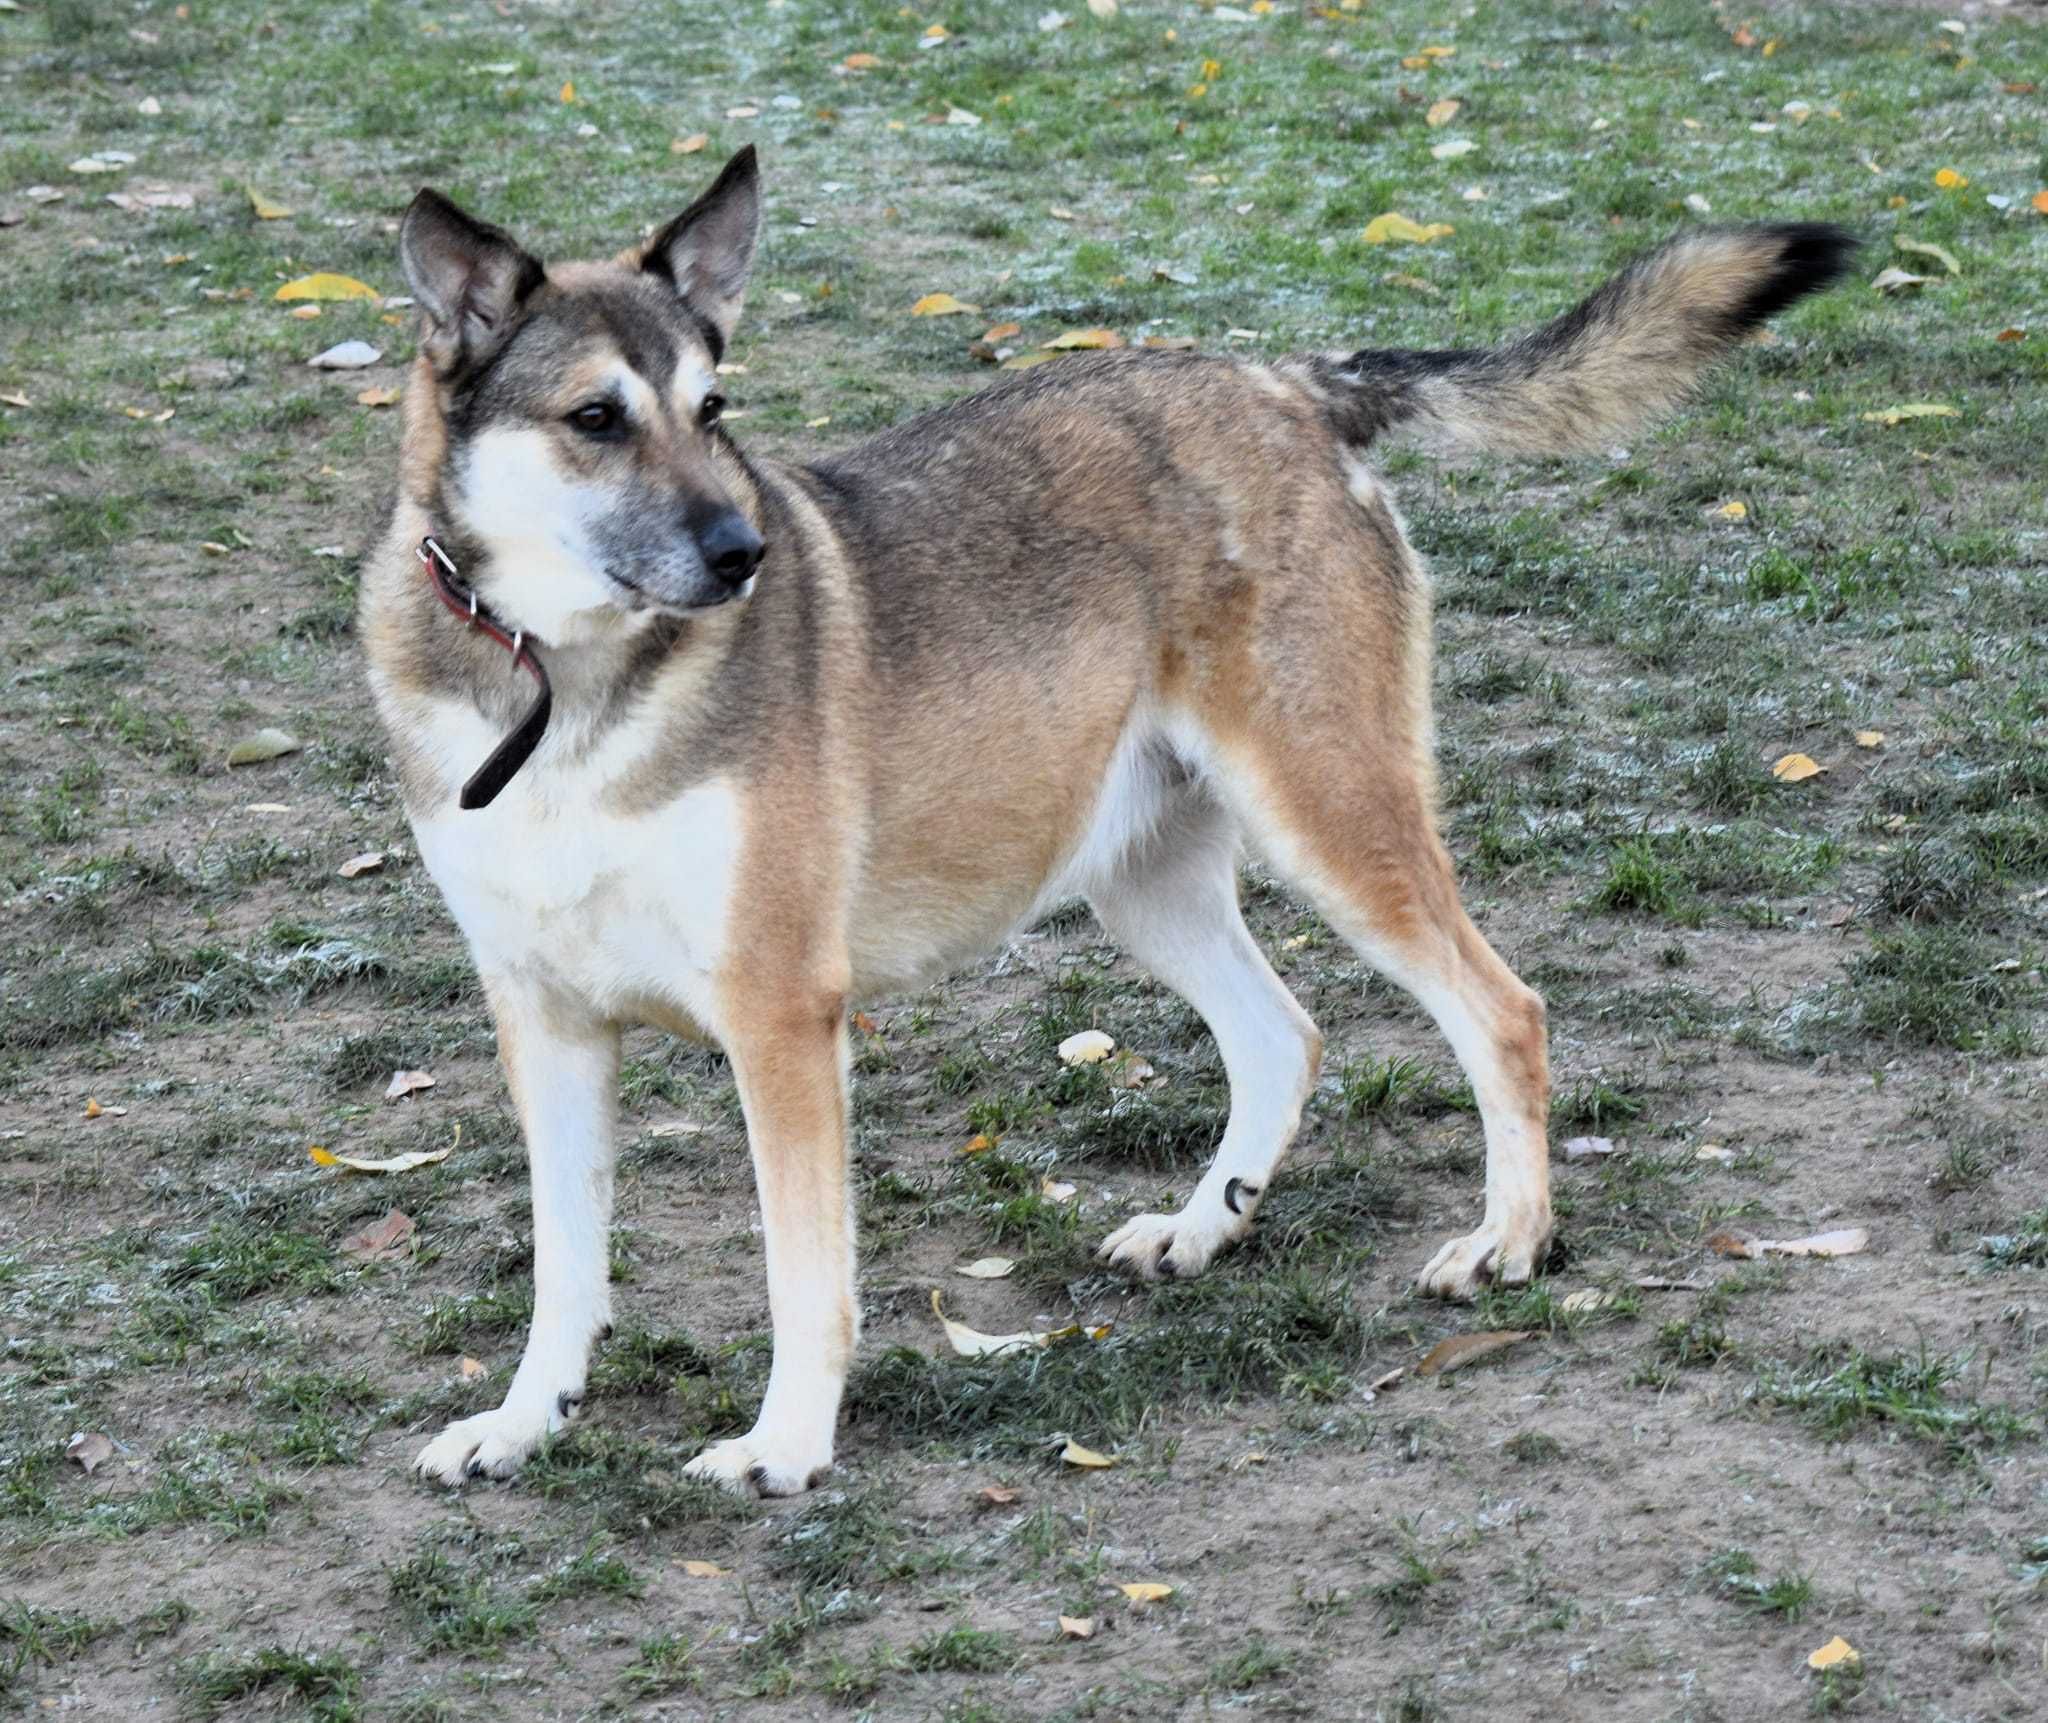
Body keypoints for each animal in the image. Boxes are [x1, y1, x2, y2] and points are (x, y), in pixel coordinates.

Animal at [364, 147, 1859, 1491]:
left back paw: (1508, 1240)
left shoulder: (779, 1012)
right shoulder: (545, 1019)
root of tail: (1291, 382)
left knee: (1502, 1011)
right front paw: (522, 1423)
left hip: (1332, 824)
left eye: (711, 403)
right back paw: (1203, 1230)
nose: (744, 553)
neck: (562, 687)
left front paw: (783, 1443)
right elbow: (564, 1266)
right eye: (595, 419)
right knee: (1283, 1035)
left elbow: (804, 1271)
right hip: (1143, 881)